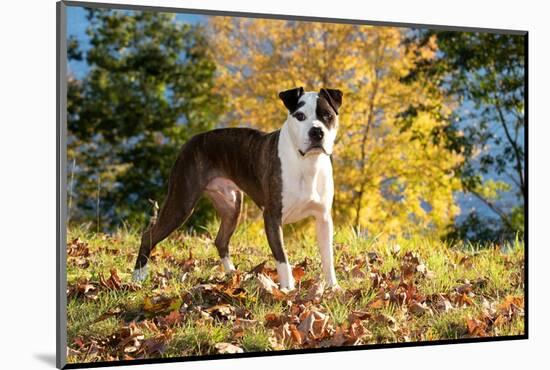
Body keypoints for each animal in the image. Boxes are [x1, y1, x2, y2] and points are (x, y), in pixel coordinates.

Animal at [132, 86, 342, 290]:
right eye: (300, 116)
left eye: (327, 116)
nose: (316, 132)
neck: (308, 164)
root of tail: (190, 141)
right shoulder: (273, 217)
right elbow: (282, 258)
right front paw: (288, 290)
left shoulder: (323, 218)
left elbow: (328, 257)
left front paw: (333, 287)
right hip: (181, 203)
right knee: (148, 236)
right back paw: (138, 277)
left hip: (231, 206)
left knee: (221, 240)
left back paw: (232, 274)